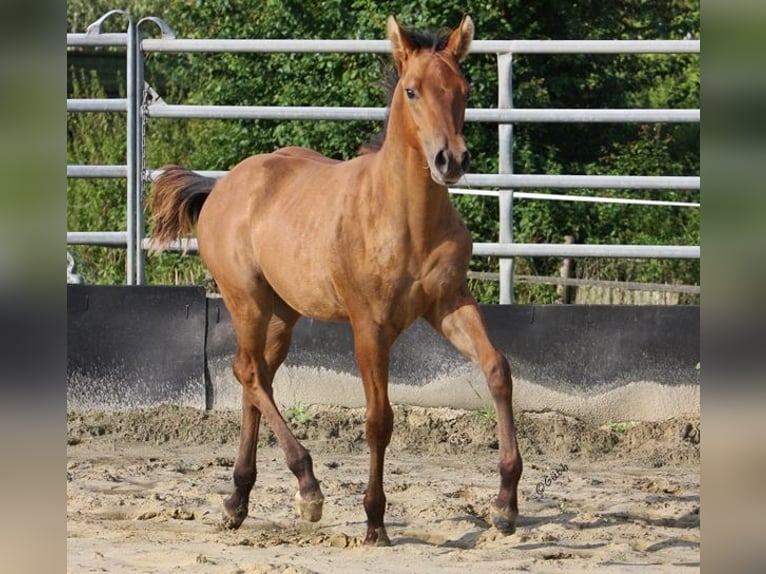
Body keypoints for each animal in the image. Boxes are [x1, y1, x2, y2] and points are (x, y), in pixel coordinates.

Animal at [150, 14, 520, 548]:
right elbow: (379, 419)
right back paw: (307, 488)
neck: (405, 217)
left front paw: (505, 505)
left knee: (256, 378)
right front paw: (375, 522)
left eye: (463, 89)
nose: (451, 160)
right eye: (412, 90)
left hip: (283, 315)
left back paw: (238, 500)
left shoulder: (450, 302)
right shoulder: (370, 326)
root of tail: (223, 185)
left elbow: (497, 370)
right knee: (248, 373)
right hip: (247, 301)